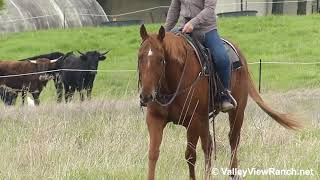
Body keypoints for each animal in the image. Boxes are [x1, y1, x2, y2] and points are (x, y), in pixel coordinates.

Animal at [137, 24, 300, 179]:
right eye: (139, 58)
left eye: (160, 59)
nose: (146, 96)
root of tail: (240, 56)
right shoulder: (155, 118)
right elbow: (153, 153)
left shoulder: (193, 121)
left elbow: (190, 155)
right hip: (204, 119)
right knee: (208, 146)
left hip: (237, 111)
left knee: (233, 139)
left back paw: (234, 174)